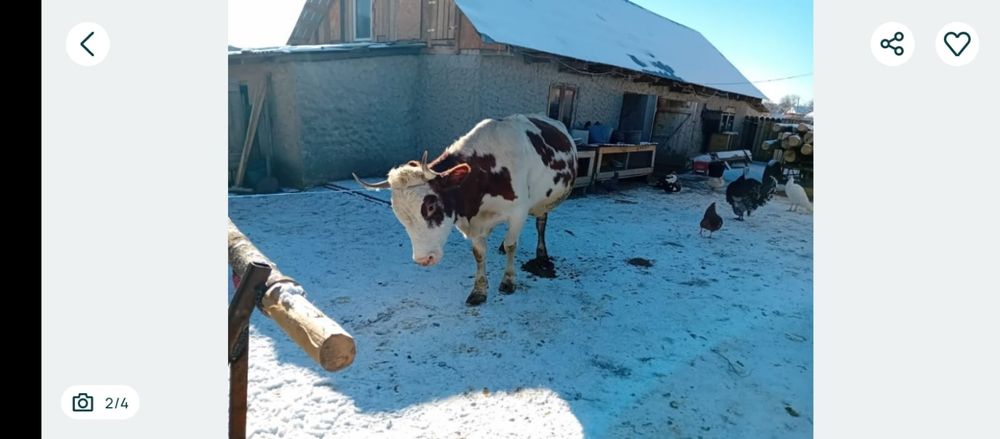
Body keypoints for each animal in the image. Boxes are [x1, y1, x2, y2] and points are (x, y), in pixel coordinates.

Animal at [354, 114, 577, 306]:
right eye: (399, 213)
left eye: (431, 206)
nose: (423, 259)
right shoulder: (475, 223)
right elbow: (479, 253)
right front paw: (479, 291)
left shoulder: (518, 213)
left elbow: (512, 246)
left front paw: (508, 281)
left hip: (544, 200)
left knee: (541, 222)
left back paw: (541, 254)